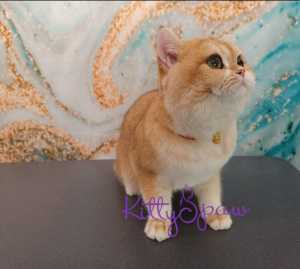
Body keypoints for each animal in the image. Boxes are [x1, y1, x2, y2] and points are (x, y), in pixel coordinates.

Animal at [113, 27, 254, 241]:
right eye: (214, 62)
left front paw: (214, 214)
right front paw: (159, 223)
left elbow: (211, 196)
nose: (243, 71)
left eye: (240, 60)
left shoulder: (210, 173)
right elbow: (158, 201)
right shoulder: (150, 173)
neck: (200, 136)